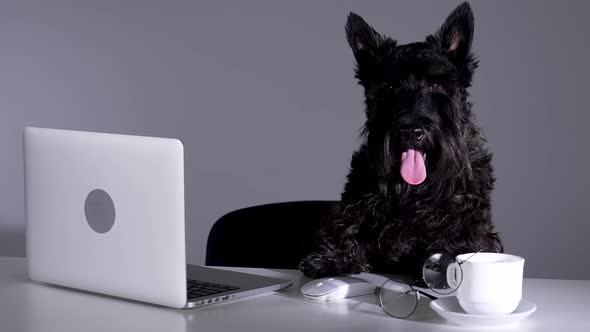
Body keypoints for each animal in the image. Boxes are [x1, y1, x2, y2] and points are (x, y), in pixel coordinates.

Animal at [300, 3, 504, 280]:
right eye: (391, 87)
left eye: (436, 84)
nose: (411, 131)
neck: (414, 191)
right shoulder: (355, 205)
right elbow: (347, 225)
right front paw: (333, 258)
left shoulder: (473, 226)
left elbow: (460, 239)